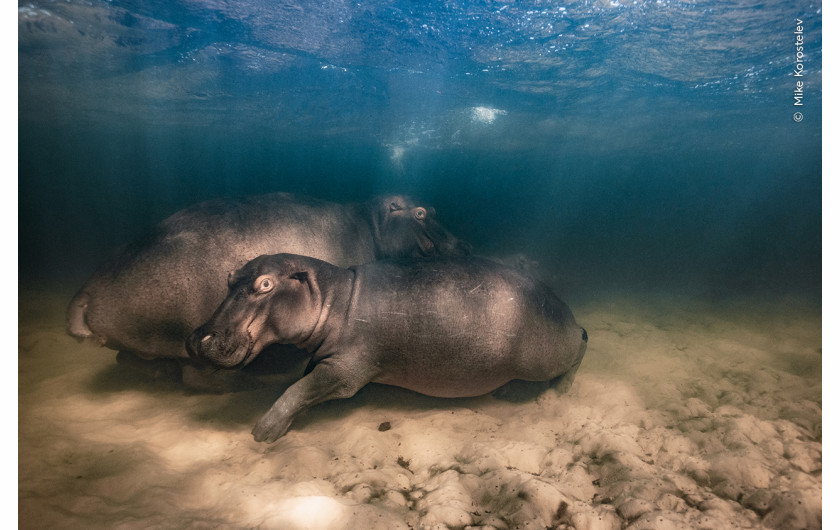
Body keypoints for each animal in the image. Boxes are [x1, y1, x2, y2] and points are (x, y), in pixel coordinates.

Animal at [187, 252, 588, 442]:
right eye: (229, 277)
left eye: (266, 284)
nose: (196, 338)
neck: (335, 298)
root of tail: (564, 308)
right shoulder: (323, 358)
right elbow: (301, 381)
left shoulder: (345, 371)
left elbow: (299, 389)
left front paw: (263, 431)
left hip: (544, 357)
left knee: (581, 344)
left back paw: (560, 390)